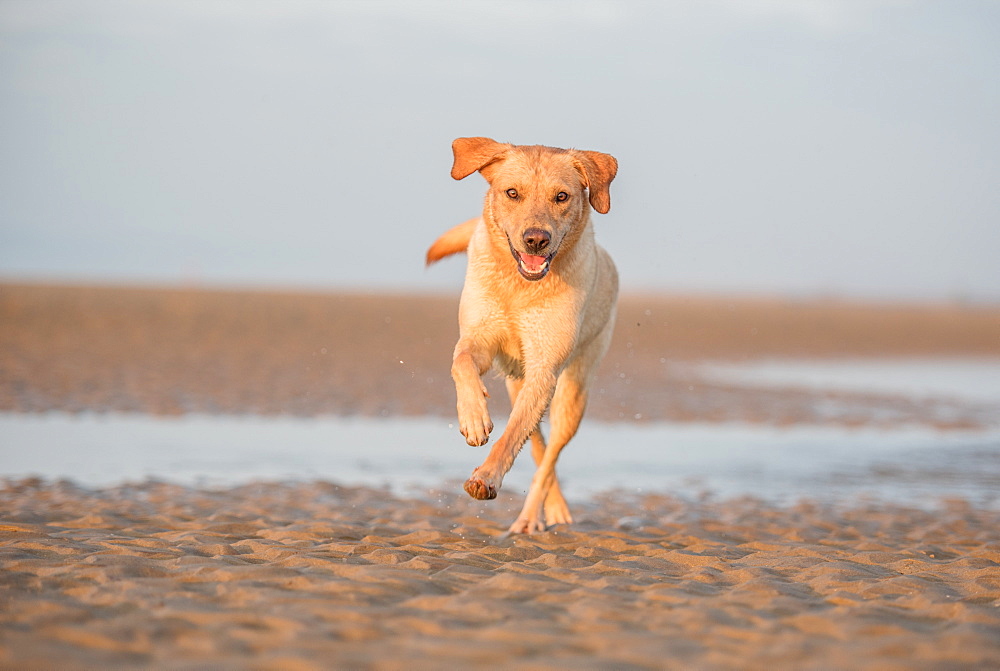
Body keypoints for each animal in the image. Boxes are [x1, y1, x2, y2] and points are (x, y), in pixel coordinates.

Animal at [424, 138, 616, 536]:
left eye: (562, 196)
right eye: (512, 193)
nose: (536, 240)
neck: (518, 286)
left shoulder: (545, 368)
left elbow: (511, 437)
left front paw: (486, 477)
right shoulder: (480, 339)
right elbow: (461, 363)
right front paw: (474, 418)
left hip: (571, 392)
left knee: (548, 456)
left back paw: (531, 518)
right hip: (518, 383)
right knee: (539, 446)